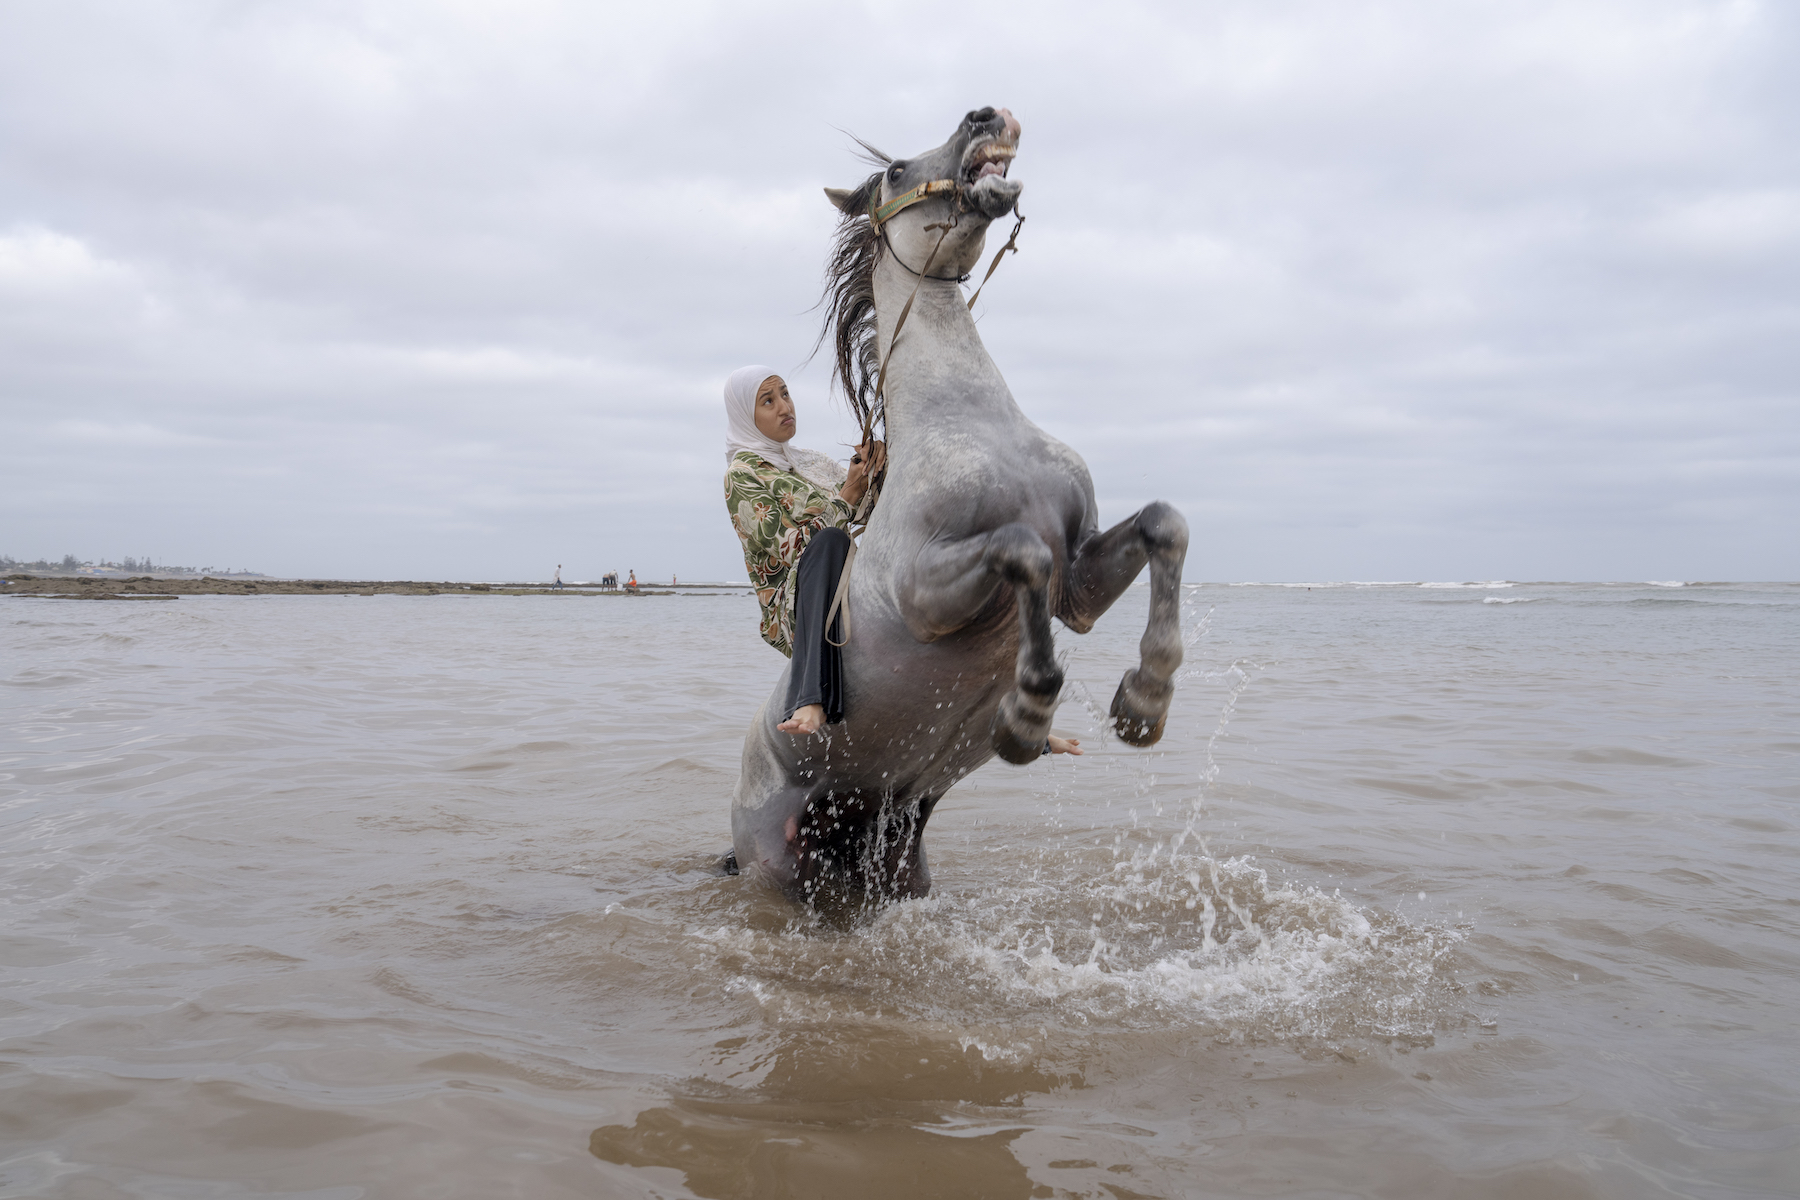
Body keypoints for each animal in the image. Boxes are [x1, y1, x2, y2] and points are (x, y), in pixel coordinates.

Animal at [731, 106, 1188, 907]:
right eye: (893, 171)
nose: (986, 117)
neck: (970, 418)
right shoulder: (926, 591)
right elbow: (1021, 552)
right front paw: (1027, 716)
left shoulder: (1080, 585)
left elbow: (1165, 523)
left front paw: (1143, 703)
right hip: (775, 870)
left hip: (896, 850)